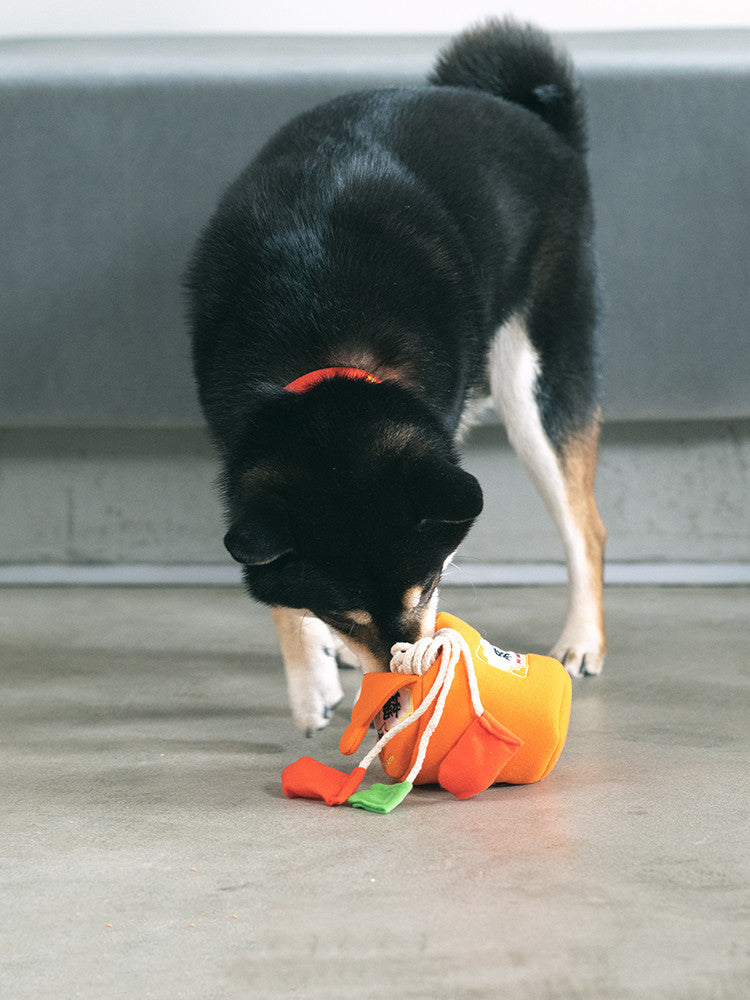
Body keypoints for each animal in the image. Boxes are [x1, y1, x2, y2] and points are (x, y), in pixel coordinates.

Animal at [185, 17, 608, 736]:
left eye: (425, 588)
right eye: (343, 614)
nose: (402, 696)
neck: (319, 321)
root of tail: (526, 114)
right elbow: (280, 597)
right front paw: (311, 682)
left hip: (536, 380)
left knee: (586, 527)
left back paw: (582, 638)